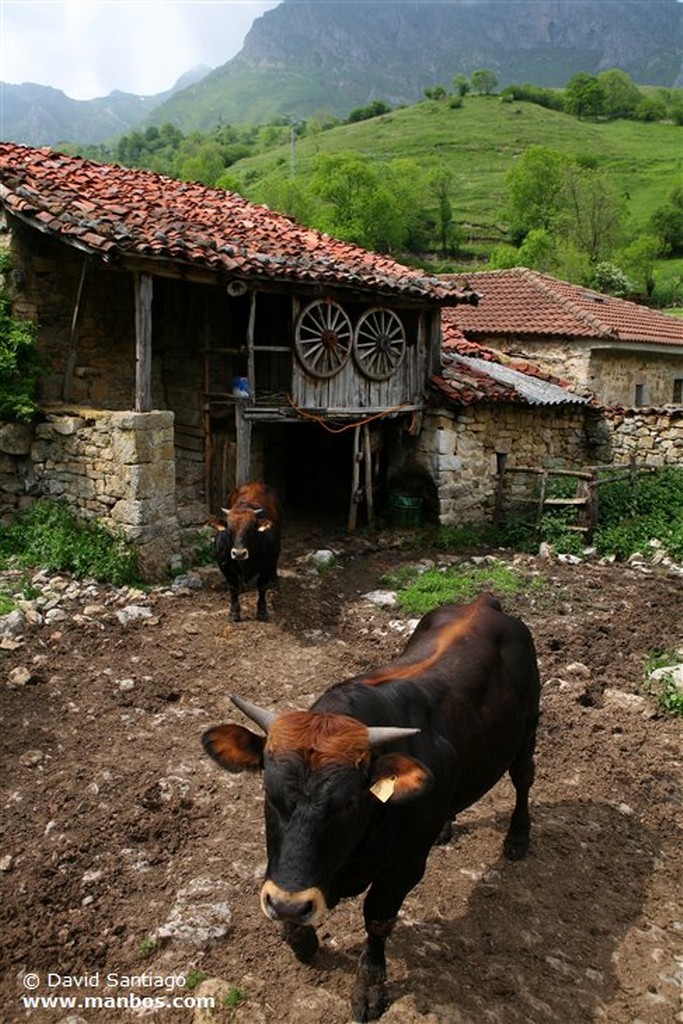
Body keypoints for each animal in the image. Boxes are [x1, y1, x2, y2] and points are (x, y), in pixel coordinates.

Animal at [200, 593, 540, 1015]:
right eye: (269, 793)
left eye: (348, 803)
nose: (290, 905)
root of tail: (483, 602)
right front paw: (302, 939)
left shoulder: (404, 867)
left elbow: (377, 920)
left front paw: (370, 986)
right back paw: (445, 827)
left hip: (528, 731)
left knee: (523, 780)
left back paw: (518, 837)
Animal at [210, 481, 280, 622]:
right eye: (229, 529)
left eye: (251, 529)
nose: (239, 553)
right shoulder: (225, 566)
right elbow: (233, 588)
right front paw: (233, 612)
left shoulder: (268, 564)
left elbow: (262, 587)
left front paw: (262, 611)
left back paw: (274, 580)